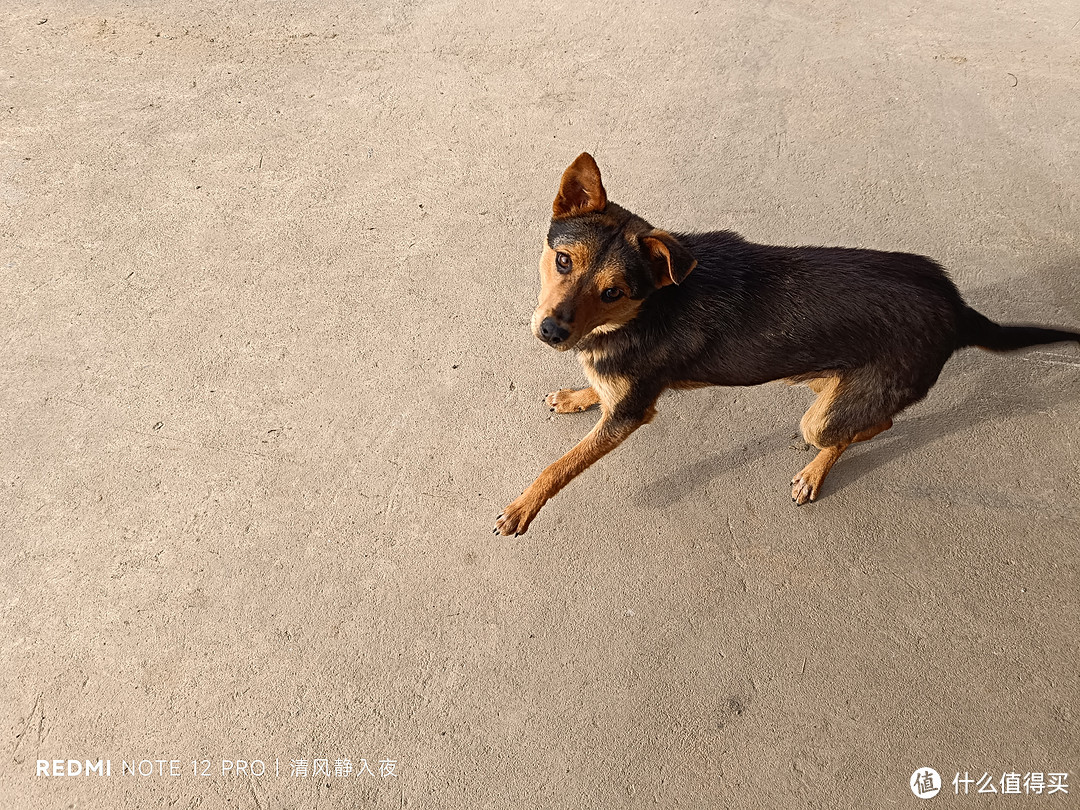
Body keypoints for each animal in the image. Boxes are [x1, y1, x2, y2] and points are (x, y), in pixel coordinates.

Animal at [494, 153, 1080, 540]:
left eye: (613, 291)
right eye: (563, 260)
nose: (551, 332)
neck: (648, 308)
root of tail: (957, 309)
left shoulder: (631, 415)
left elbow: (561, 465)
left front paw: (524, 506)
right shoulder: (620, 390)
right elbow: (599, 389)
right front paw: (576, 395)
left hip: (827, 416)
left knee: (867, 426)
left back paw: (815, 470)